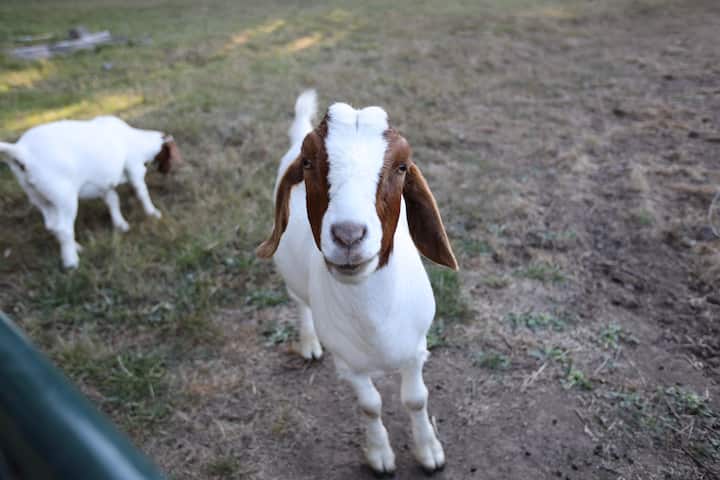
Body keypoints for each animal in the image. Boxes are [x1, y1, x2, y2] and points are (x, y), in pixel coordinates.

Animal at [0, 116, 181, 269]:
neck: (134, 139)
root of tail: (22, 151)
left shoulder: (104, 184)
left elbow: (113, 200)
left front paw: (120, 224)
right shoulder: (134, 169)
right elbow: (142, 193)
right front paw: (153, 213)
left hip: (39, 198)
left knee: (53, 226)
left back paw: (76, 247)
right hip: (64, 197)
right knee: (63, 228)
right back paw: (71, 262)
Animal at [257, 90, 458, 474]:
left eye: (401, 167)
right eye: (308, 163)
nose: (348, 235)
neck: (373, 318)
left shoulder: (416, 349)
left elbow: (415, 399)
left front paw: (429, 451)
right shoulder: (348, 365)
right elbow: (370, 405)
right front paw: (380, 454)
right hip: (291, 277)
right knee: (299, 302)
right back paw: (308, 343)